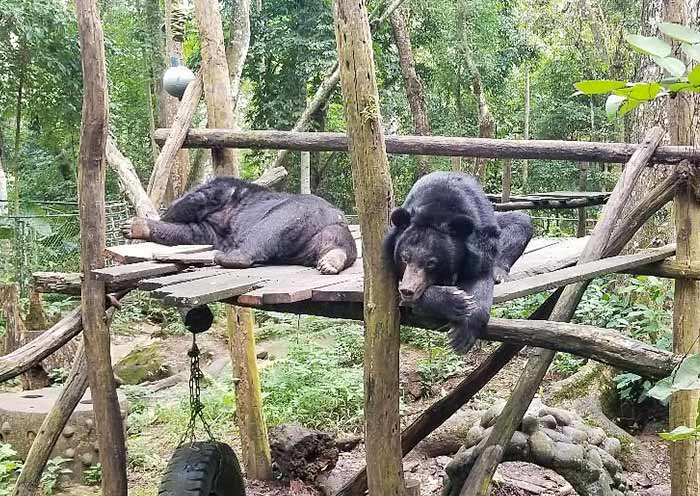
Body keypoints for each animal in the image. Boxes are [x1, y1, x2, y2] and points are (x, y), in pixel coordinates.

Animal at [121, 176, 358, 275]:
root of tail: (336, 215)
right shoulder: (212, 230)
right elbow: (191, 233)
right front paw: (133, 226)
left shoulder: (220, 192)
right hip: (325, 233)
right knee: (339, 243)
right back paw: (330, 261)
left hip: (295, 211)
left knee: (266, 231)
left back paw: (227, 258)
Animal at [384, 171, 533, 352]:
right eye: (404, 258)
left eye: (431, 263)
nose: (408, 290)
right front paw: (456, 301)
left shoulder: (480, 244)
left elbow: (480, 277)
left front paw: (462, 335)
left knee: (521, 221)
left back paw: (499, 274)